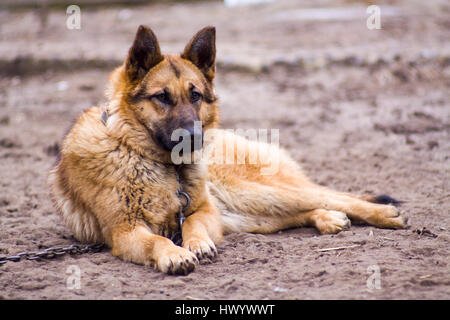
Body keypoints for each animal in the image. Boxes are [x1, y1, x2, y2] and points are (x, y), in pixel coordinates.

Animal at [49, 25, 408, 276]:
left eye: (195, 95)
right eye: (162, 97)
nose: (193, 137)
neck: (148, 159)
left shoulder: (205, 211)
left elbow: (191, 224)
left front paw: (196, 244)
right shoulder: (125, 231)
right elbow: (156, 239)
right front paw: (175, 253)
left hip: (251, 192)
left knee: (333, 196)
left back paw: (383, 214)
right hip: (248, 214)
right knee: (301, 210)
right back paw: (327, 218)